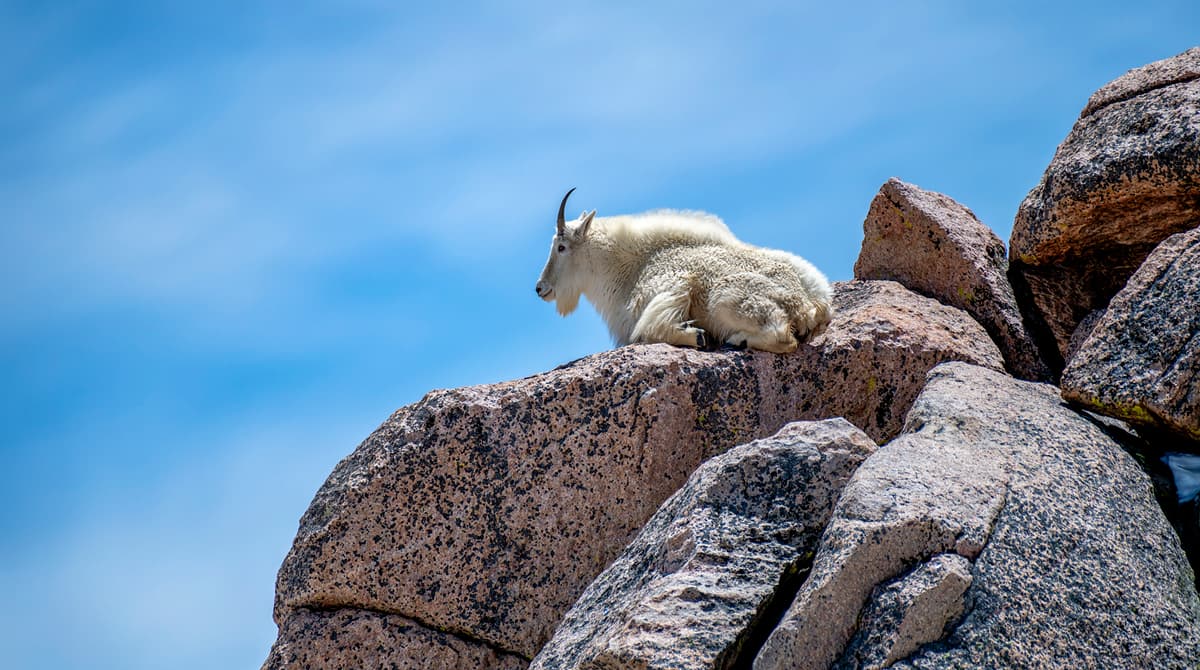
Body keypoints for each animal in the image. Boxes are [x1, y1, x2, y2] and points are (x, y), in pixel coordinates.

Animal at [535, 188, 833, 353]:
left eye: (561, 247)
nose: (540, 288)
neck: (631, 268)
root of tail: (807, 307)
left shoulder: (672, 285)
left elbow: (650, 329)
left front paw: (697, 336)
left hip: (727, 298)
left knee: (782, 337)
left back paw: (737, 340)